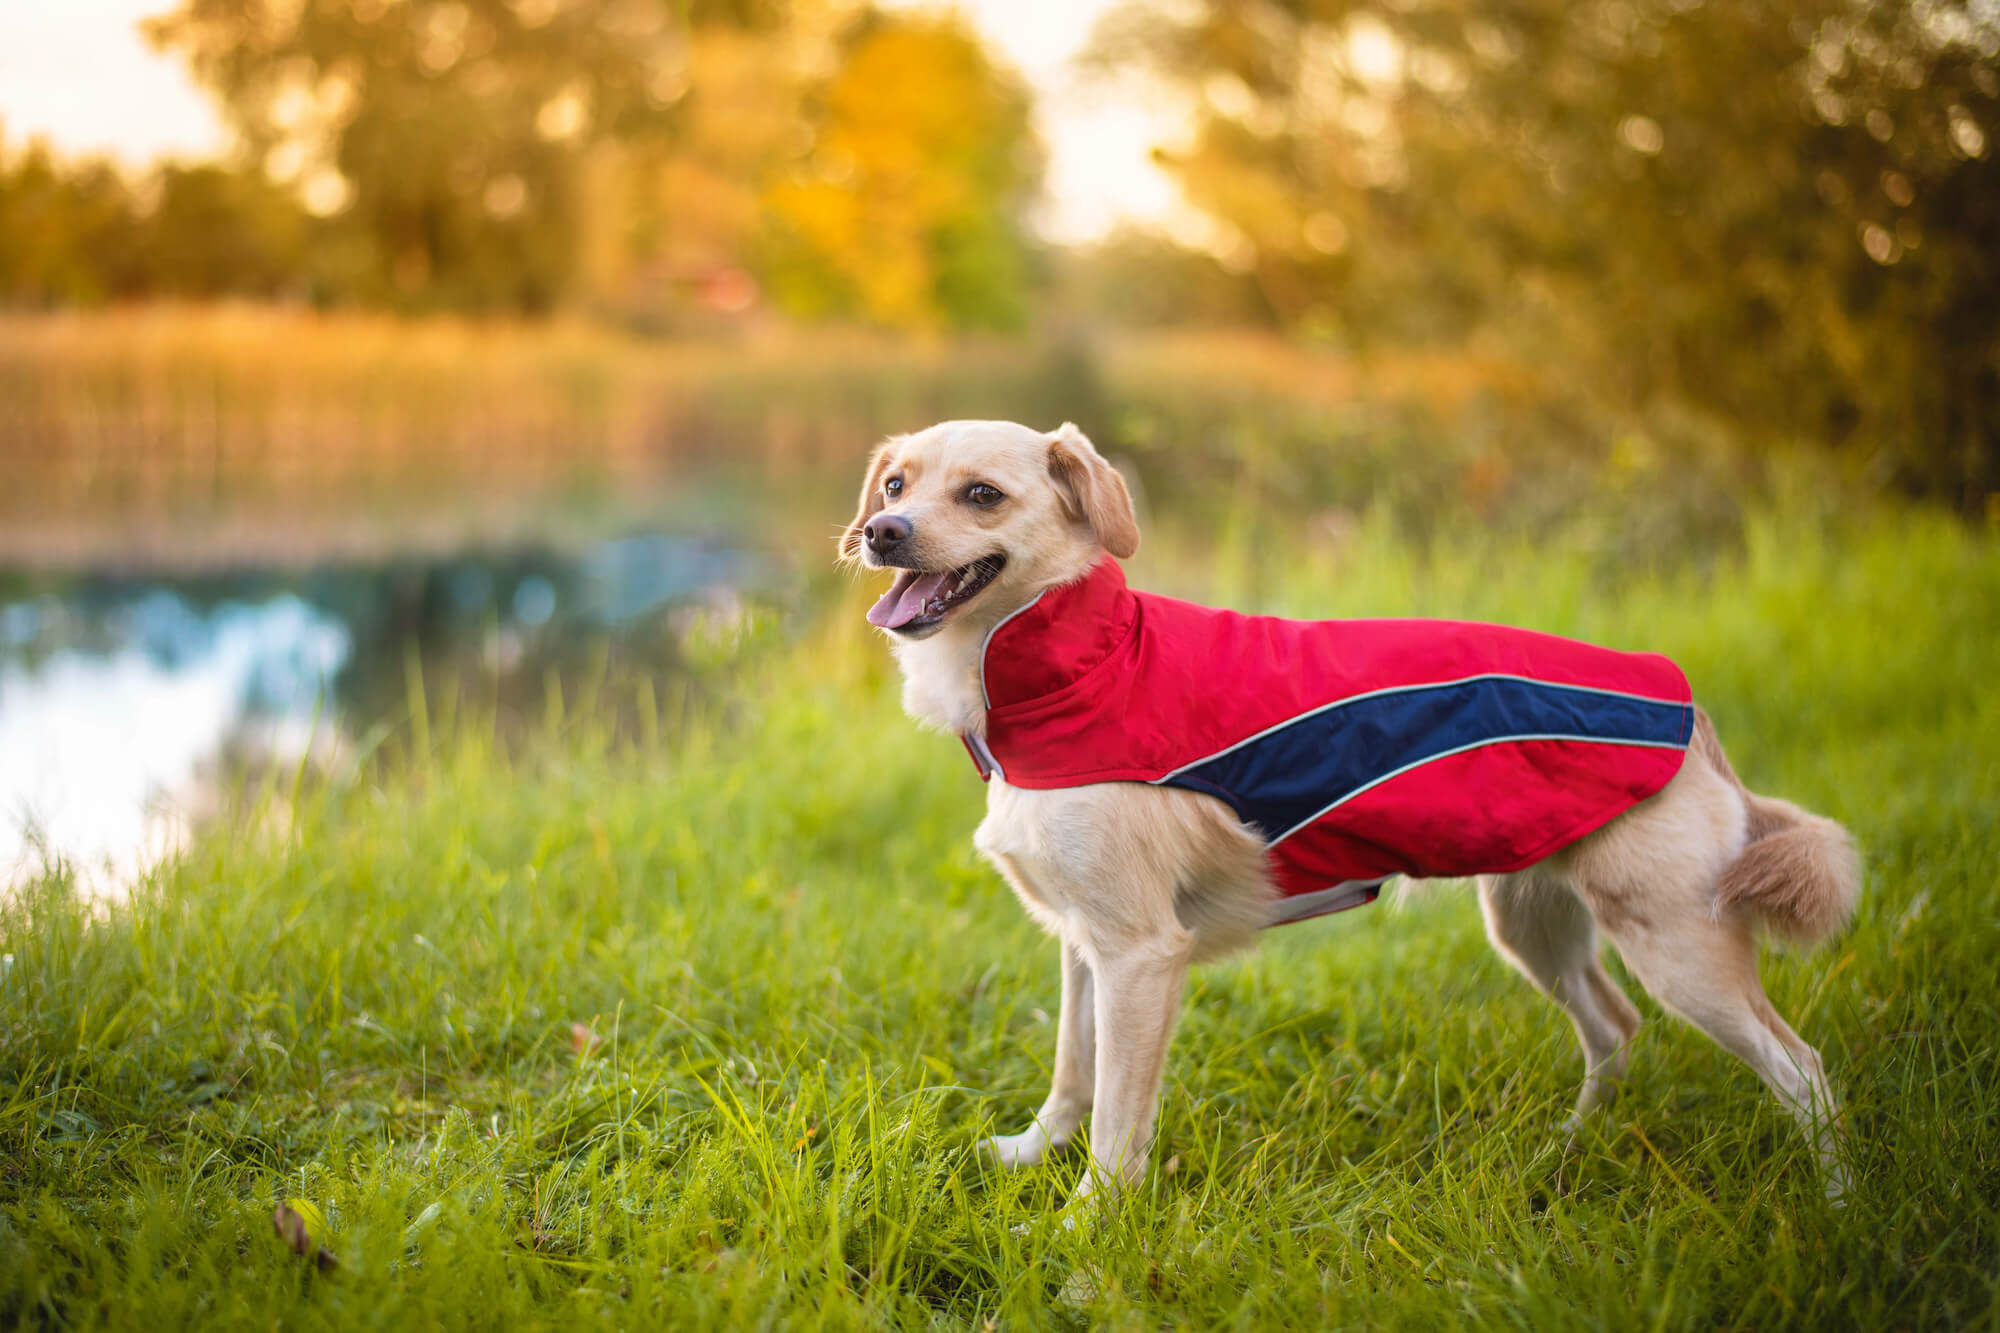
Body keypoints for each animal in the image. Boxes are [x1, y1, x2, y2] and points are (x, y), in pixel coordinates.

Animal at [840, 418, 1856, 1200]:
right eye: (895, 482)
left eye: (981, 495)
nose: (883, 531)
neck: (1084, 664)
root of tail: (1680, 702)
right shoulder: (1084, 942)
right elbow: (1072, 1071)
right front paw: (1030, 1153)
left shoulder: (1139, 954)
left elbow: (1119, 1120)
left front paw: (1087, 1225)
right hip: (1535, 922)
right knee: (1613, 1027)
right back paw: (1567, 1149)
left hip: (1679, 946)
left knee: (1802, 1069)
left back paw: (1837, 1205)